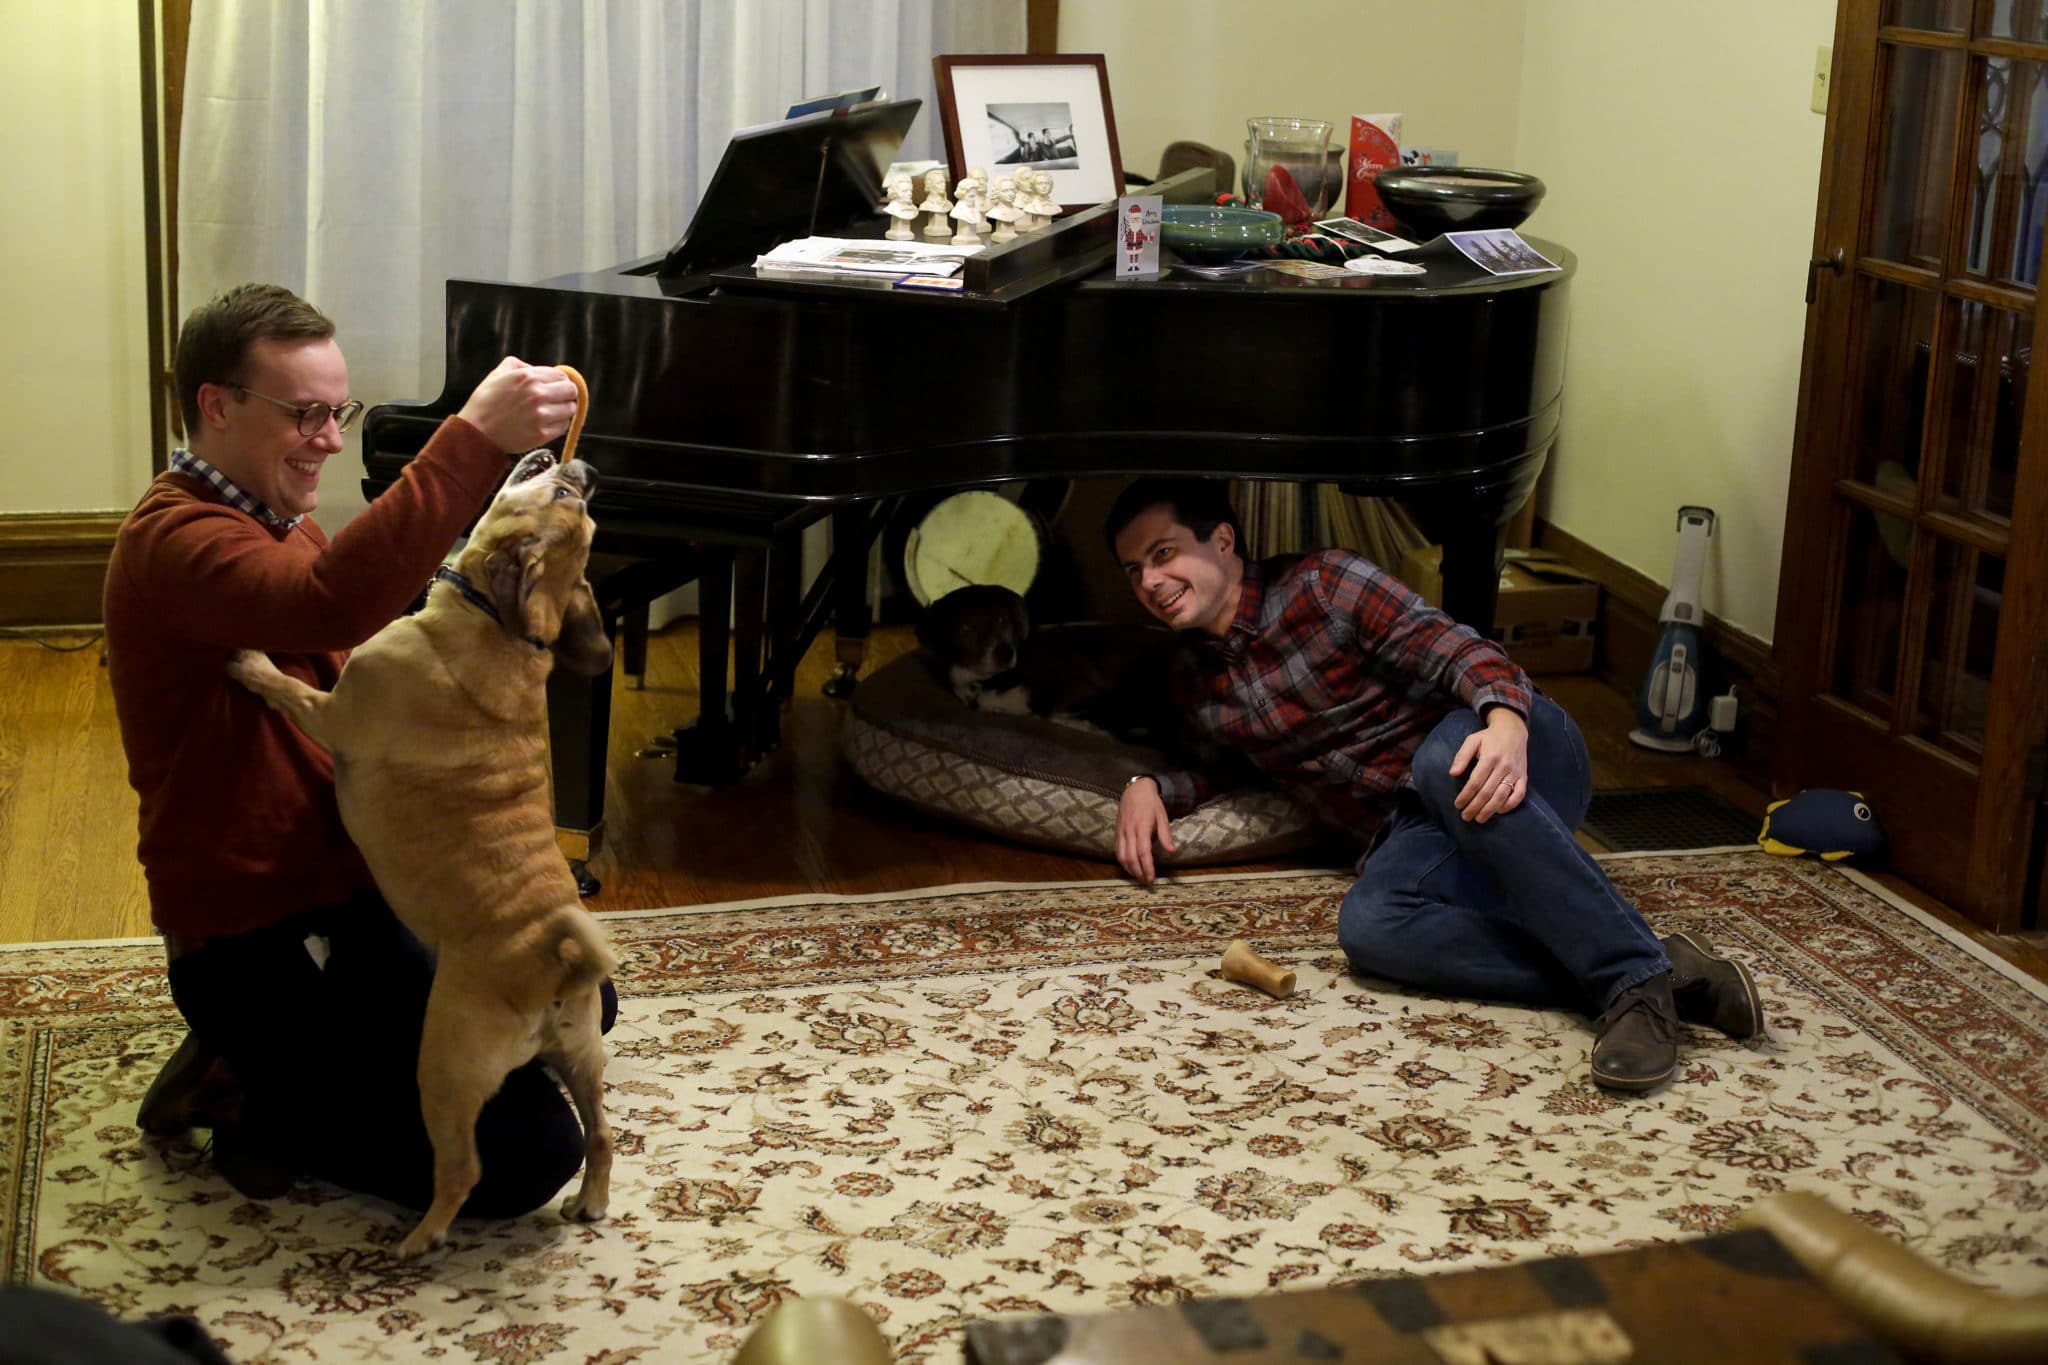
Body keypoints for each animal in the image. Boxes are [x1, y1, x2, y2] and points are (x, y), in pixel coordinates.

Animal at [228, 448, 614, 1260]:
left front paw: (252, 662)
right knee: (601, 1136)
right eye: (577, 503)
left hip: (443, 1067)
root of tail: (558, 964)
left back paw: (418, 1239)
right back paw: (590, 1203)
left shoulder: (333, 712)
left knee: (462, 1167)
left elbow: (288, 689)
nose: (581, 465)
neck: (501, 623)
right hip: (584, 1057)